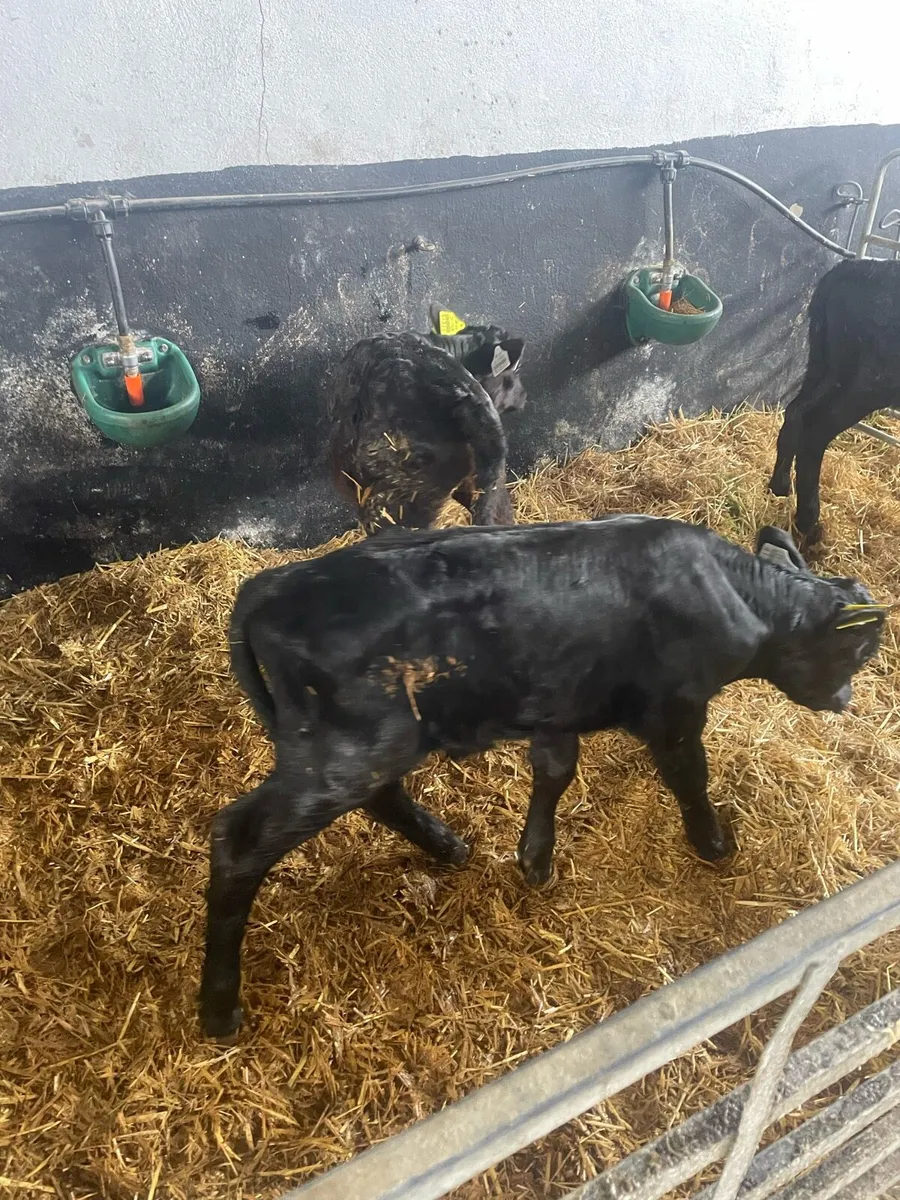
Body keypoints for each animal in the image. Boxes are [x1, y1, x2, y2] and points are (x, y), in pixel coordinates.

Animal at [199, 517, 888, 1037]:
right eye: (859, 651)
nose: (848, 699)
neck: (741, 597)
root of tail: (271, 583)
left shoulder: (560, 699)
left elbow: (555, 771)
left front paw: (534, 857)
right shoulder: (674, 710)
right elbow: (689, 777)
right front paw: (714, 843)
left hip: (364, 748)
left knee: (381, 797)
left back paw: (447, 846)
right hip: (348, 751)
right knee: (239, 840)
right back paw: (218, 1008)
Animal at [769, 257, 900, 542]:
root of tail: (855, 265)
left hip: (826, 364)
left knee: (796, 411)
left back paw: (780, 485)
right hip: (871, 381)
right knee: (815, 431)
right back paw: (809, 522)